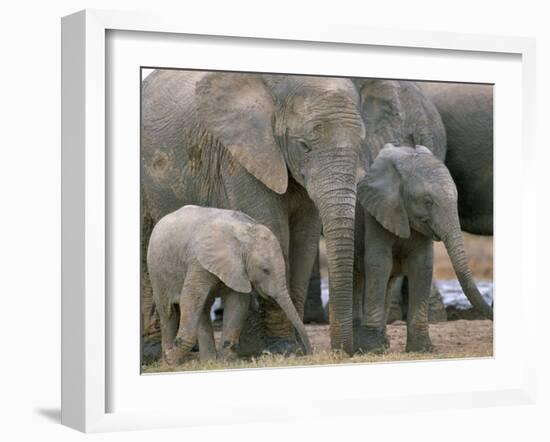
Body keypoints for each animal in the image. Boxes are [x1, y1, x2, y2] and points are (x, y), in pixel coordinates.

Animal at [147, 205, 312, 364]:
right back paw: (170, 362)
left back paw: (208, 362)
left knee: (202, 307)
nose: (309, 352)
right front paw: (171, 357)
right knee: (168, 311)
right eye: (265, 270)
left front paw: (224, 362)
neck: (244, 233)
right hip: (156, 270)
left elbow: (237, 303)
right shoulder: (198, 262)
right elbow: (190, 297)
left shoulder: (239, 269)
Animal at [358, 145, 496, 352]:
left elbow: (422, 264)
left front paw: (421, 349)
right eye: (428, 202)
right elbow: (379, 262)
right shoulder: (376, 212)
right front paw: (372, 350)